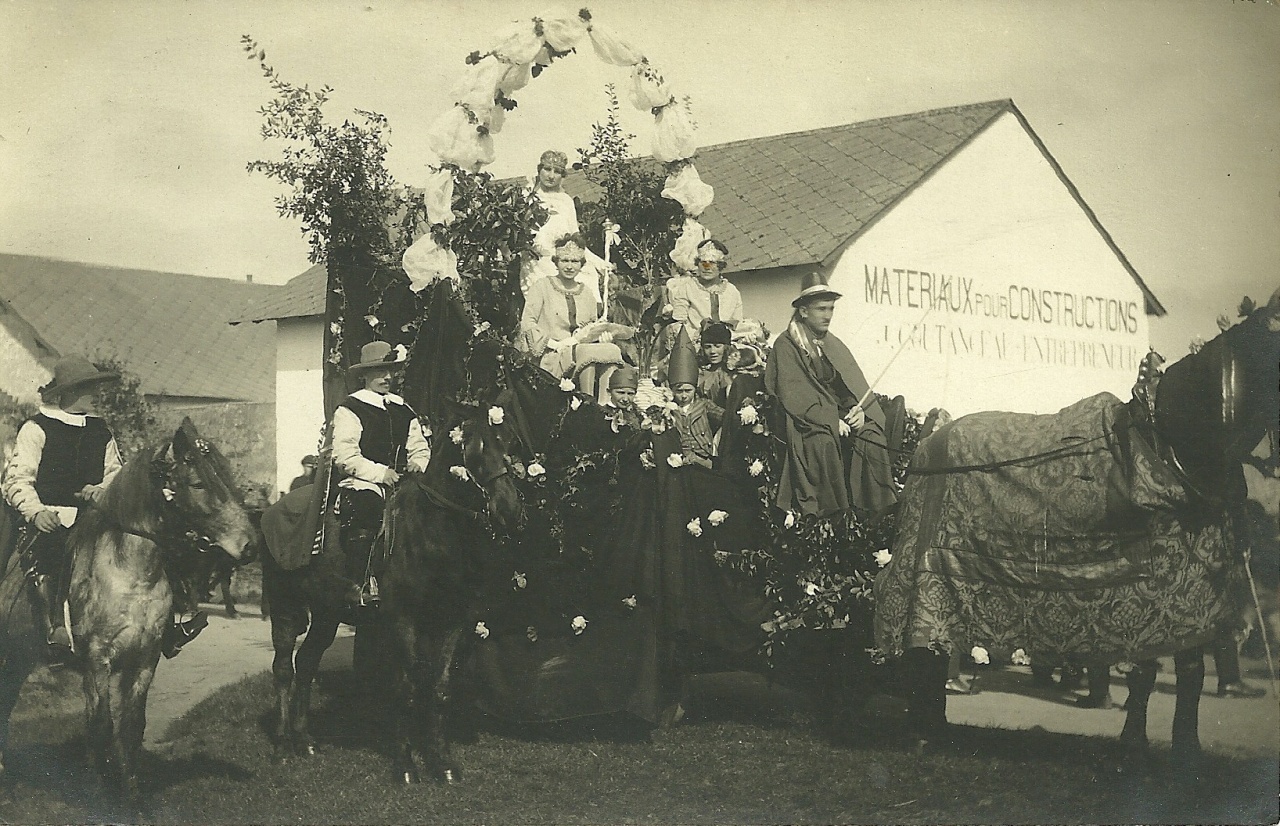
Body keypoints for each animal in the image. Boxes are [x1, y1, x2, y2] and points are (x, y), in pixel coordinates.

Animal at [0, 420, 257, 799]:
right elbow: (101, 725)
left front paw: (131, 793)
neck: (132, 577)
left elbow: (133, 725)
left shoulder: (145, 659)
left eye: (225, 475)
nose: (250, 546)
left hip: (19, 657)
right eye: (198, 483)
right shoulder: (97, 662)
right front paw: (102, 792)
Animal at [259, 409, 519, 763]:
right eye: (476, 451)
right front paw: (408, 757)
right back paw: (285, 743)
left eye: (507, 445)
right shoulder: (402, 620)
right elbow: (409, 686)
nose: (509, 509)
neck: (430, 533)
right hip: (284, 605)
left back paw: (305, 739)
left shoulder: (450, 622)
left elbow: (439, 687)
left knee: (308, 661)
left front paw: (438, 756)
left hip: (328, 612)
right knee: (284, 667)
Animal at [875, 293, 1280, 763]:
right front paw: (1135, 741)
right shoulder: (1155, 593)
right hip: (930, 578)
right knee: (927, 645)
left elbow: (1192, 671)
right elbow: (1146, 670)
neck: (1167, 445)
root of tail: (926, 444)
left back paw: (936, 726)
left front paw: (1184, 752)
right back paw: (922, 732)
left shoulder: (1194, 595)